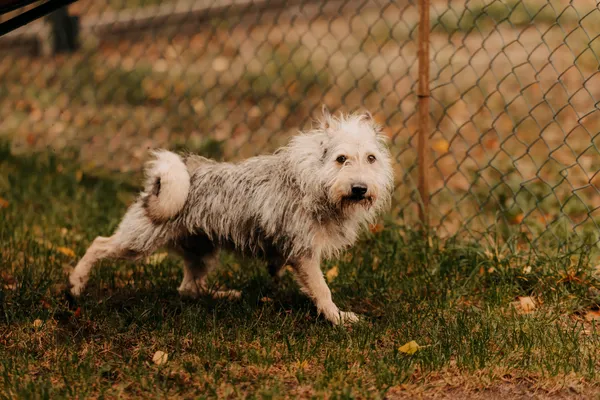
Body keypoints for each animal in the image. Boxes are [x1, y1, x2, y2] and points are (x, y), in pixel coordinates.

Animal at [70, 107, 394, 324]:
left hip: (202, 253)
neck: (313, 180)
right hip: (138, 242)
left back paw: (224, 295)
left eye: (371, 158)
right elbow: (323, 290)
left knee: (189, 289)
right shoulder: (303, 254)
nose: (360, 188)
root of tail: (163, 180)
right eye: (341, 159)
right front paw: (336, 318)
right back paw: (75, 284)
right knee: (98, 244)